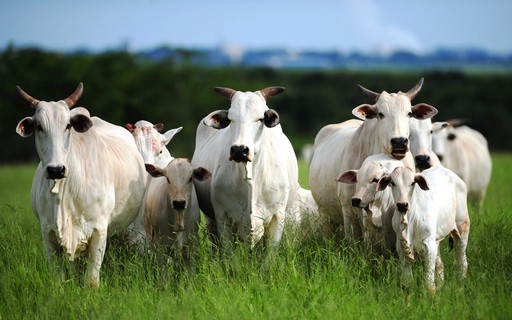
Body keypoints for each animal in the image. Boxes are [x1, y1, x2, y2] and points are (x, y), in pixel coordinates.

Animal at [15, 83, 146, 288]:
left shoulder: (99, 230)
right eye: (39, 126)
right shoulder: (48, 232)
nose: (56, 169)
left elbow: (91, 280)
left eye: (68, 125)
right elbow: (59, 277)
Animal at [190, 86, 298, 254]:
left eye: (260, 118)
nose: (239, 150)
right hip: (210, 221)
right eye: (231, 119)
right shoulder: (222, 217)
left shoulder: (277, 218)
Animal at [378, 165, 470, 298]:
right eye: (392, 182)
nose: (402, 205)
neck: (409, 220)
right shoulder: (401, 247)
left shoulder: (428, 246)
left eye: (412, 183)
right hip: (436, 240)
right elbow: (407, 283)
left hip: (462, 229)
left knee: (462, 263)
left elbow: (429, 284)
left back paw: (460, 289)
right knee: (440, 265)